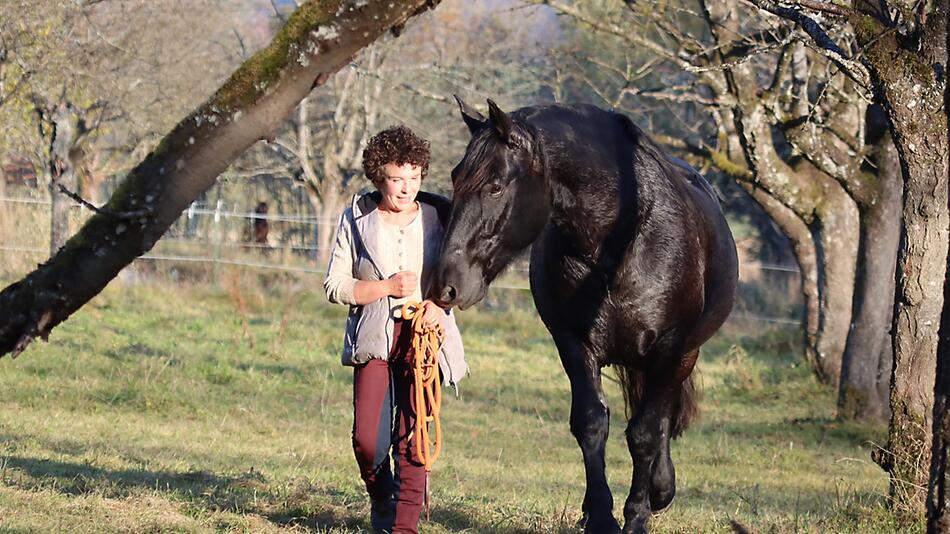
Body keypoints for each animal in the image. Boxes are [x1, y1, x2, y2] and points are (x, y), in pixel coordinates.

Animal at [434, 98, 744, 532]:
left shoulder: (669, 349)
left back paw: (661, 489)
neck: (620, 244)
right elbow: (591, 422)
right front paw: (599, 514)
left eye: (494, 186)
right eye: (455, 178)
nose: (447, 284)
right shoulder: (574, 344)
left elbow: (646, 433)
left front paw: (636, 516)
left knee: (661, 420)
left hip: (683, 356)